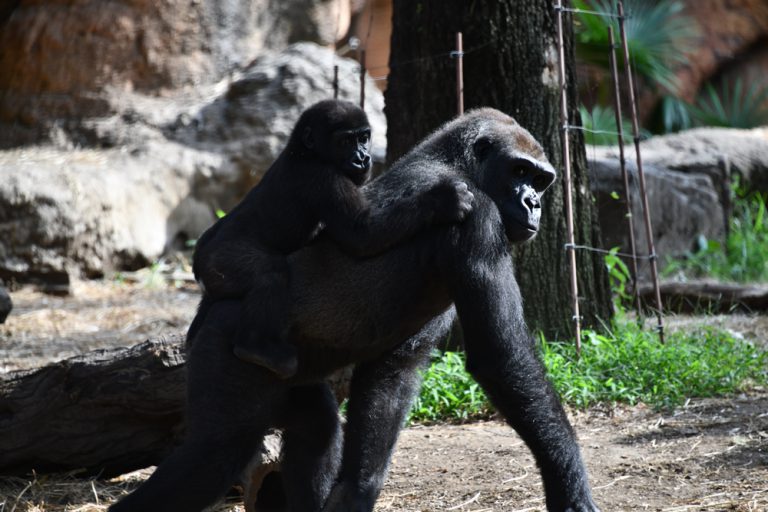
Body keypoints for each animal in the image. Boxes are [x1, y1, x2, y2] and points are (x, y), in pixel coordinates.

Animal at [192, 99, 474, 376]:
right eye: (345, 141)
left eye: (363, 138)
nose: (363, 158)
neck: (303, 151)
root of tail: (197, 269)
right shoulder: (323, 177)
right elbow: (362, 233)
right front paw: (443, 201)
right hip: (218, 262)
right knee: (269, 273)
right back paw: (258, 349)